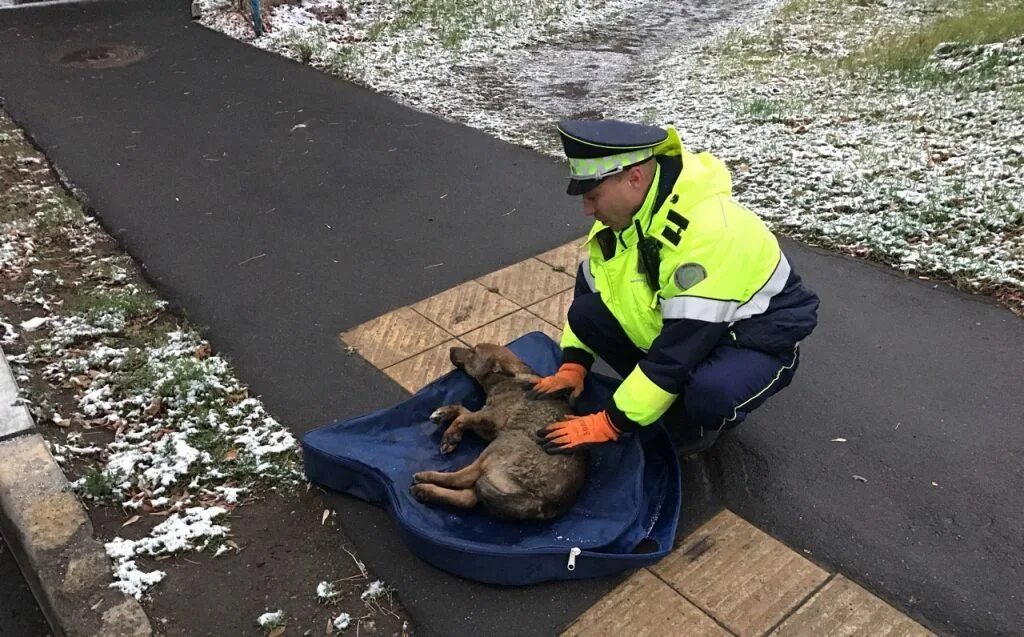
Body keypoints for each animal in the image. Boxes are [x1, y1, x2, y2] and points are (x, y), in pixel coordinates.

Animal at [405, 346, 585, 522]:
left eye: (474, 351)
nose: (450, 349)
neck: (507, 378)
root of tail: (539, 503)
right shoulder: (486, 426)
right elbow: (462, 411)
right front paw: (445, 414)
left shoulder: (490, 418)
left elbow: (462, 418)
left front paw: (450, 436)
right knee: (468, 498)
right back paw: (426, 492)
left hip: (499, 447)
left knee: (462, 478)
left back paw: (425, 478)